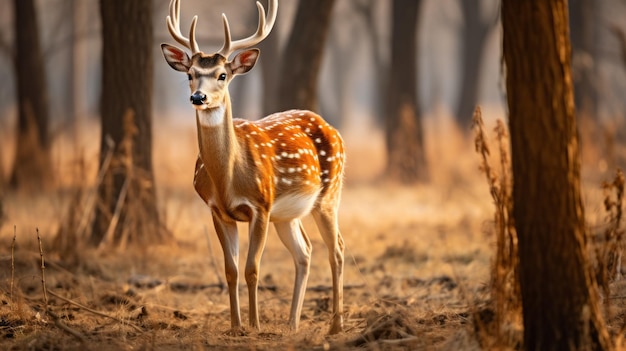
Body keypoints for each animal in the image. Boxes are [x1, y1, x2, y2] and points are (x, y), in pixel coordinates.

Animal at [161, 0, 344, 336]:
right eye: (191, 73)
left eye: (222, 75)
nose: (198, 96)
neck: (228, 180)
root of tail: (332, 128)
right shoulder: (217, 210)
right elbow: (230, 270)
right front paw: (235, 326)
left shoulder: (261, 205)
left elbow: (252, 269)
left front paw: (255, 325)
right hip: (287, 215)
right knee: (305, 252)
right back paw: (291, 323)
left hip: (328, 194)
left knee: (336, 249)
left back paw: (335, 326)